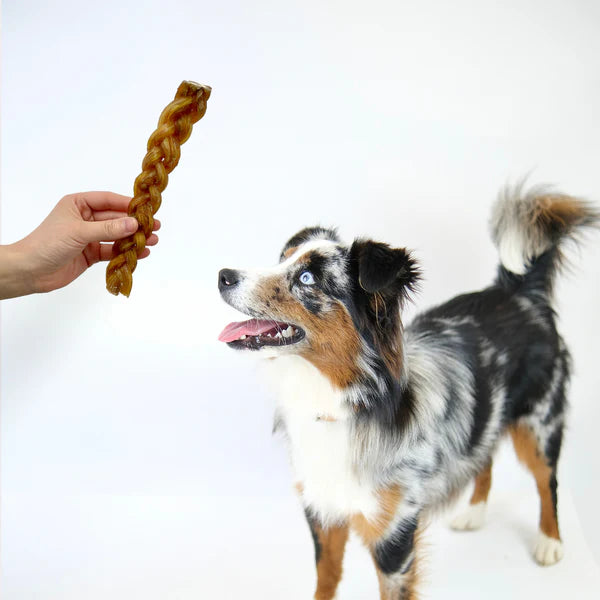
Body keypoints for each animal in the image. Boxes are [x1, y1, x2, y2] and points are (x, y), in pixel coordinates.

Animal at [216, 185, 596, 596]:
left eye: (306, 278)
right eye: (283, 260)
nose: (223, 275)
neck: (344, 402)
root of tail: (520, 292)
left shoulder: (394, 536)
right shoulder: (323, 509)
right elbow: (326, 579)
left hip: (540, 421)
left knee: (547, 479)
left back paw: (550, 541)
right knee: (485, 456)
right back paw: (474, 512)